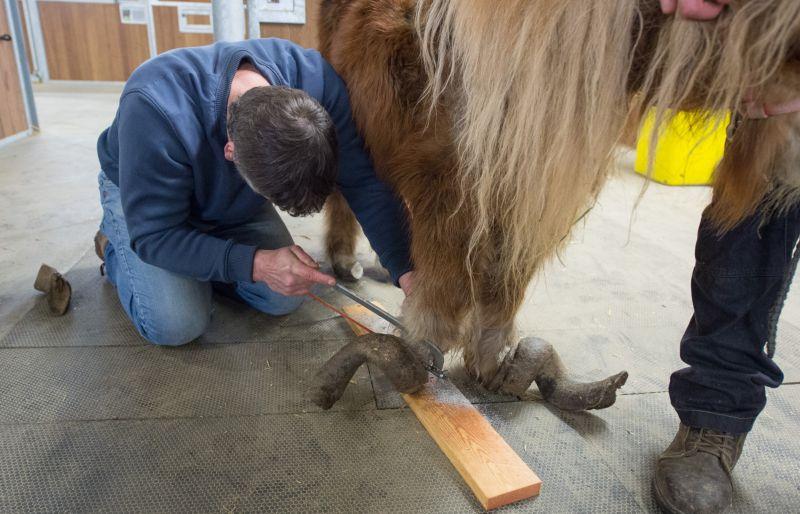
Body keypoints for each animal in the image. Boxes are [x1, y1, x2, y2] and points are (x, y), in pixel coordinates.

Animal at [318, 0, 800, 408]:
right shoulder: (451, 179)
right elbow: (449, 282)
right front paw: (425, 344)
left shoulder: (523, 188)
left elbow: (504, 277)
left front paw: (491, 361)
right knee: (346, 194)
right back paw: (344, 261)